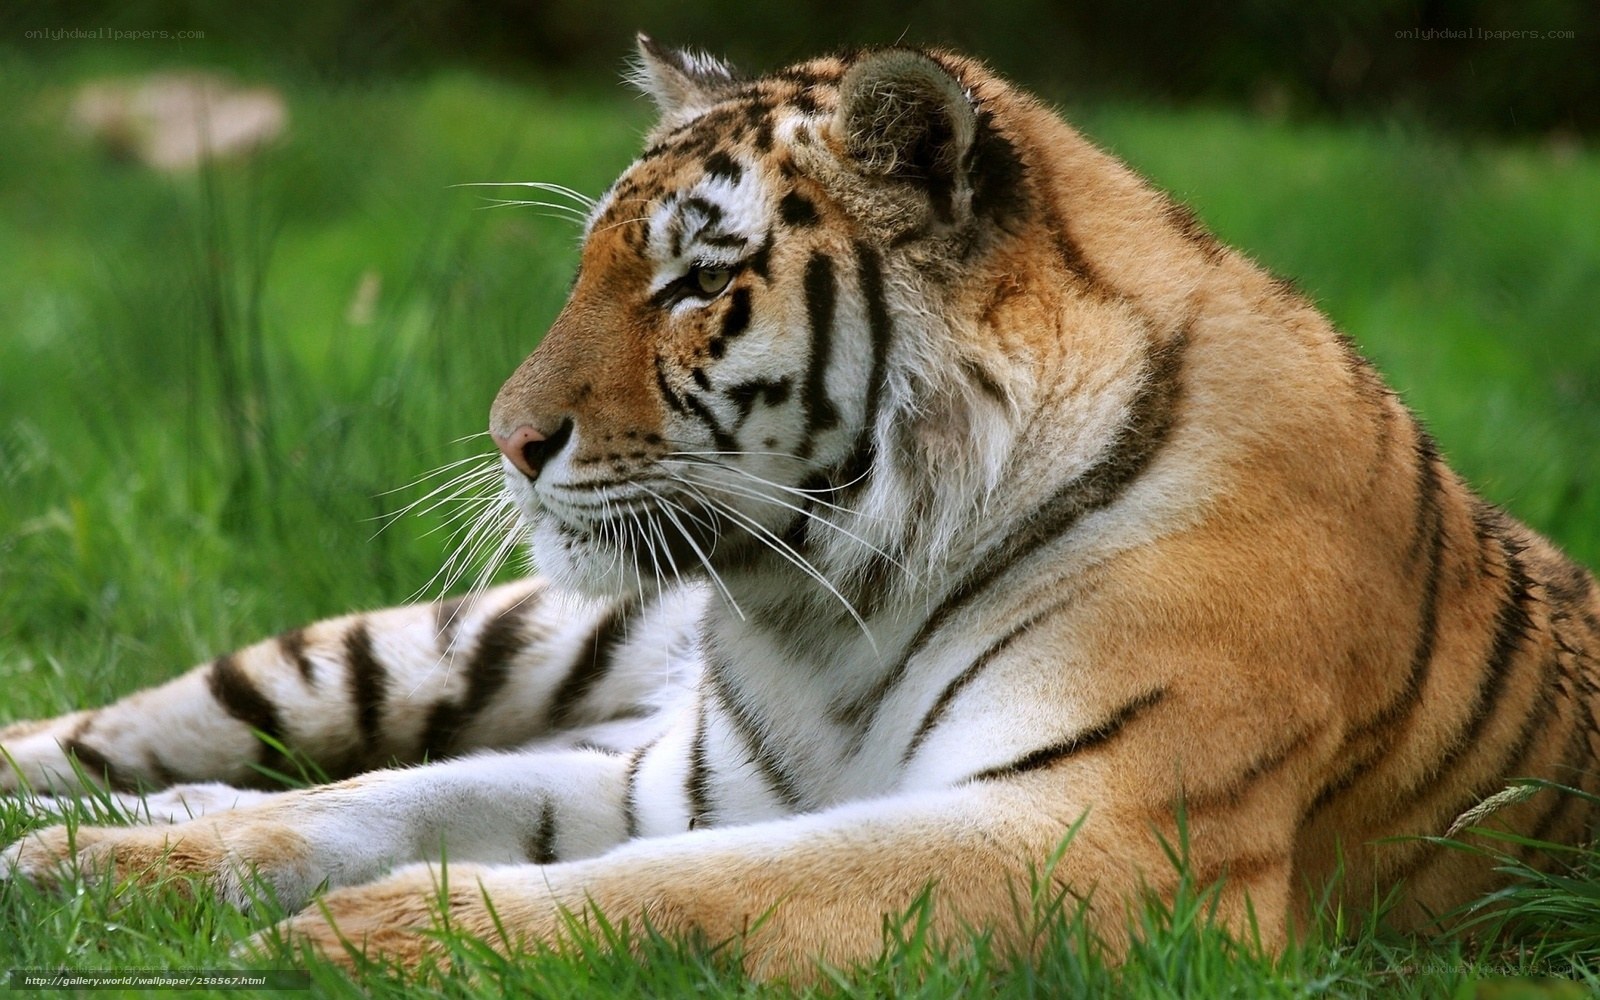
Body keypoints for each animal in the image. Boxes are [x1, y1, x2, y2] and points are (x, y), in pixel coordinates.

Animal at [3, 36, 1598, 979]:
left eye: (694, 281)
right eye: (591, 268)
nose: (510, 441)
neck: (840, 602)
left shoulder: (1105, 842)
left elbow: (695, 887)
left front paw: (373, 934)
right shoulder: (676, 779)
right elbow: (380, 800)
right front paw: (106, 872)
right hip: (421, 649)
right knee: (139, 735)